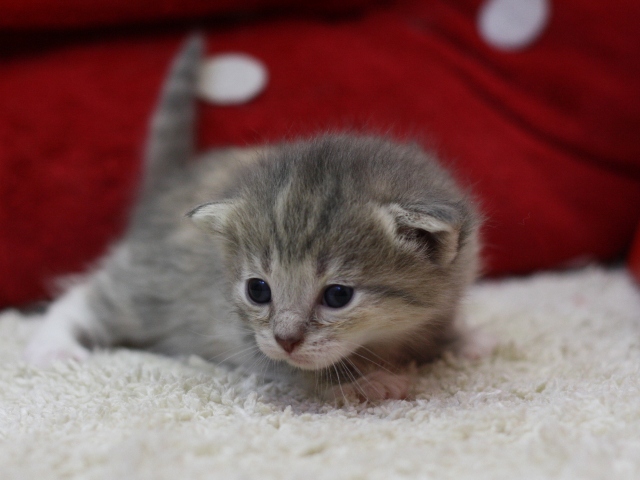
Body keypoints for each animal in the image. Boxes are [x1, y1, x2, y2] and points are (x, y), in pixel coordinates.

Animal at [25, 34, 484, 402]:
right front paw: (359, 382)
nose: (286, 339)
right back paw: (54, 346)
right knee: (85, 296)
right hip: (147, 287)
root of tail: (169, 181)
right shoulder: (245, 336)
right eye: (258, 290)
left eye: (338, 296)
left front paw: (465, 338)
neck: (386, 338)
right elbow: (293, 369)